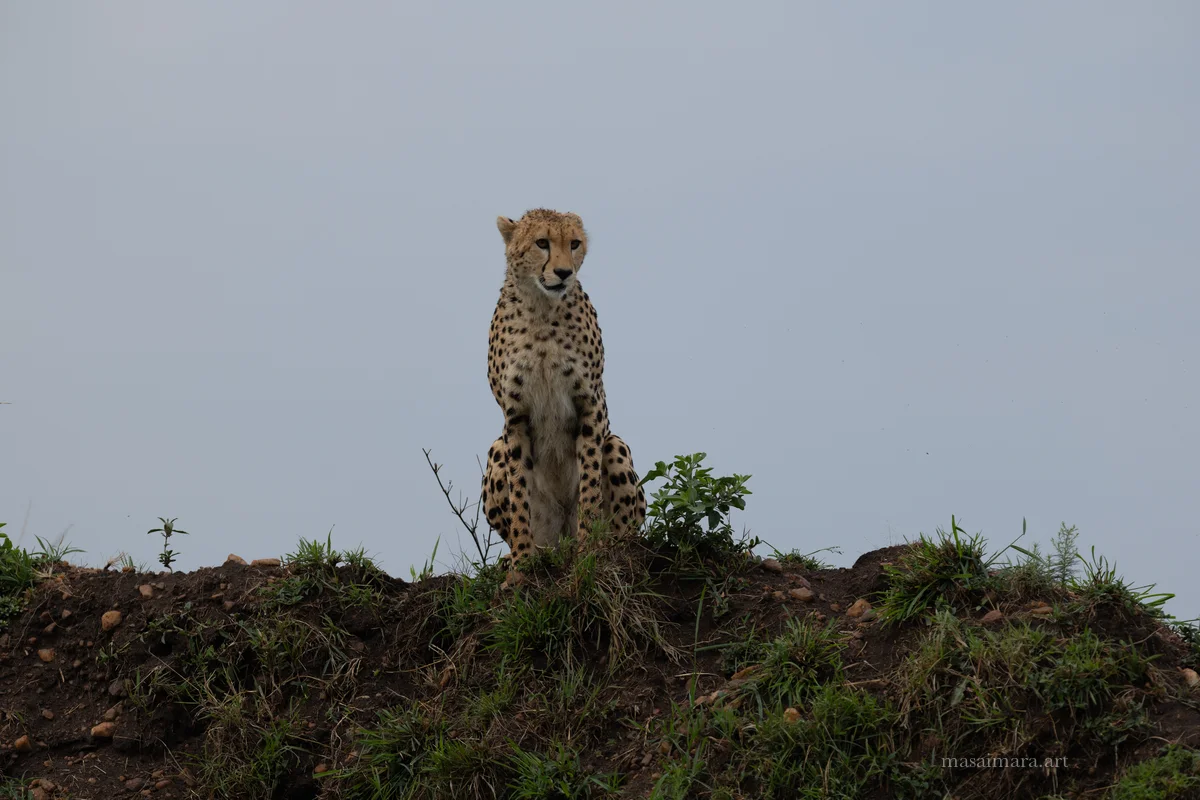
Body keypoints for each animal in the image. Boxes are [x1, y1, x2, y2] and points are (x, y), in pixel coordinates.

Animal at [480, 208, 645, 586]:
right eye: (542, 242)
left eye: (574, 244)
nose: (564, 272)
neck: (542, 309)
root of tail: (560, 541)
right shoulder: (515, 415)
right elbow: (519, 493)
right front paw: (521, 566)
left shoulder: (591, 406)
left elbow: (588, 485)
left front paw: (589, 554)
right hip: (496, 450)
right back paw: (525, 556)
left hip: (615, 445)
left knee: (627, 532)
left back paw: (609, 548)